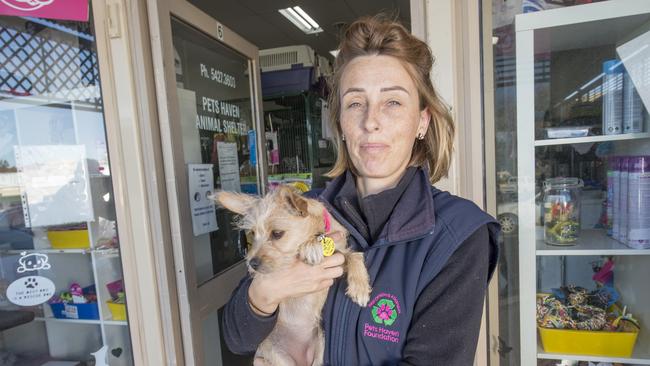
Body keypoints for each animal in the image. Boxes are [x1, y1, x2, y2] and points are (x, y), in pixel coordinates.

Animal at [213, 186, 370, 366]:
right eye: (252, 233)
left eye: (277, 233)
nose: (252, 264)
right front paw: (312, 246)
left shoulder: (339, 256)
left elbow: (354, 255)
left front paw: (360, 288)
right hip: (279, 358)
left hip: (320, 346)